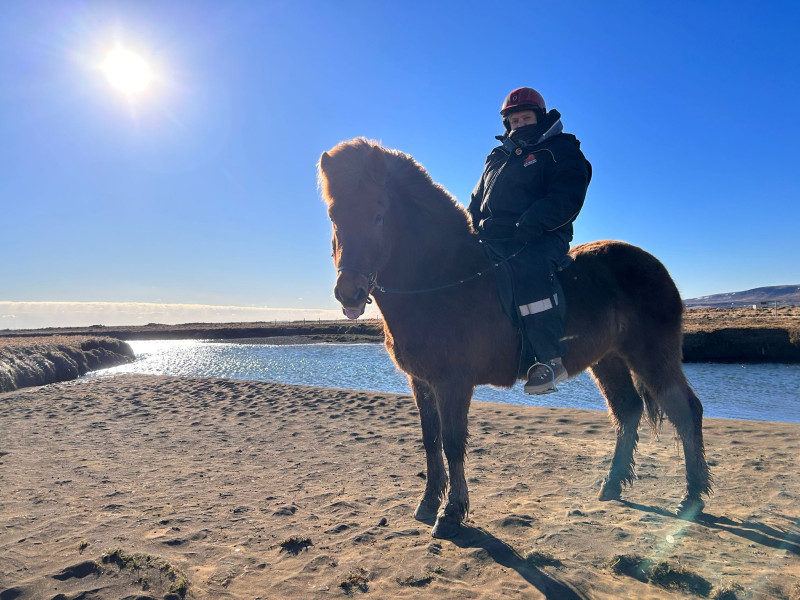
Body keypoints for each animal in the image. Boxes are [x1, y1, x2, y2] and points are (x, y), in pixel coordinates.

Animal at [316, 137, 708, 540]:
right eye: (333, 216)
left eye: (378, 215)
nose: (349, 293)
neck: (443, 279)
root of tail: (654, 265)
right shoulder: (421, 383)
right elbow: (431, 441)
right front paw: (428, 502)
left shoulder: (453, 383)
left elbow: (453, 443)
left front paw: (452, 513)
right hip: (608, 360)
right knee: (627, 410)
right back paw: (612, 485)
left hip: (651, 356)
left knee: (687, 410)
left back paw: (692, 497)